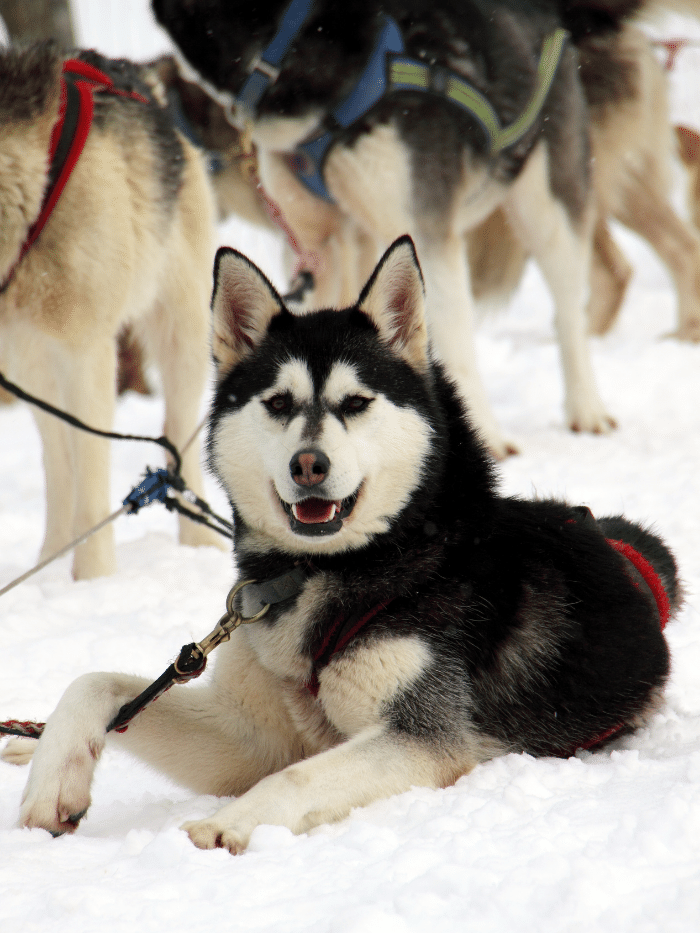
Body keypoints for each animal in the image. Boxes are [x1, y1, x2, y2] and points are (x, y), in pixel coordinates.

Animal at [2, 238, 680, 852]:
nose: (309, 464)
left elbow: (299, 775)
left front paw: (230, 822)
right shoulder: (250, 740)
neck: (331, 570)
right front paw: (54, 778)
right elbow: (98, 682)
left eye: (355, 403)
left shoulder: (422, 736)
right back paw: (24, 741)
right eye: (278, 403)